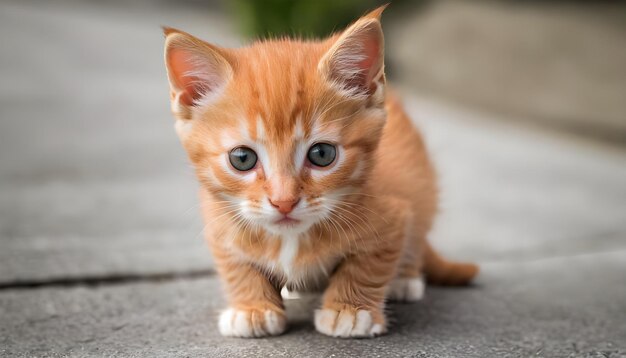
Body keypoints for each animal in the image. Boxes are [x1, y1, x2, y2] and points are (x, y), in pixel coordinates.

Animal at [162, 6, 478, 338]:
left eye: (322, 154)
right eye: (243, 158)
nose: (284, 202)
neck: (291, 238)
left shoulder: (395, 213)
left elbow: (370, 264)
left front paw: (351, 311)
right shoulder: (219, 221)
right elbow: (235, 265)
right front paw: (251, 308)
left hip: (423, 186)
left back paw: (405, 278)